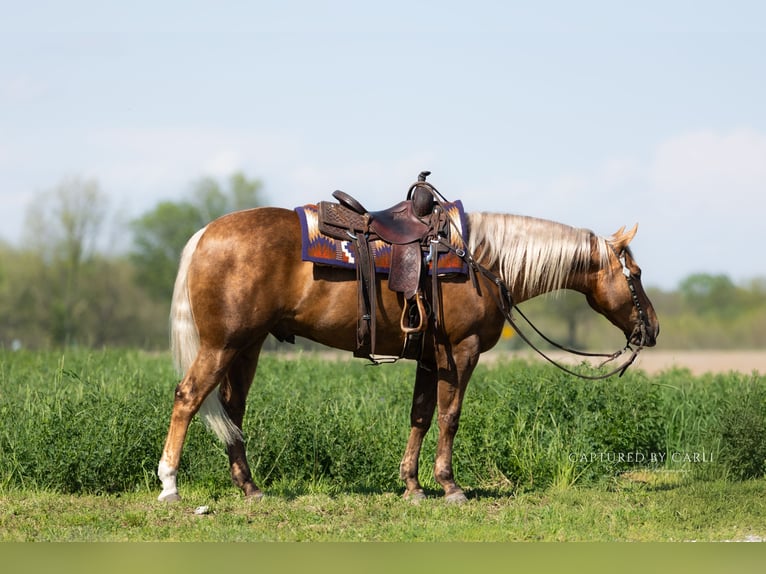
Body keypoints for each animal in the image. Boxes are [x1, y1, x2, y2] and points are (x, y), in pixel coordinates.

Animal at [157, 205, 659, 503]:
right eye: (634, 274)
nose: (651, 328)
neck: (482, 261)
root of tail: (206, 233)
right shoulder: (461, 351)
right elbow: (449, 416)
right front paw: (450, 485)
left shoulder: (429, 356)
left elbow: (420, 414)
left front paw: (413, 485)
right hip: (223, 345)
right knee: (188, 398)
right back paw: (169, 483)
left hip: (248, 345)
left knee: (232, 410)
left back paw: (249, 487)